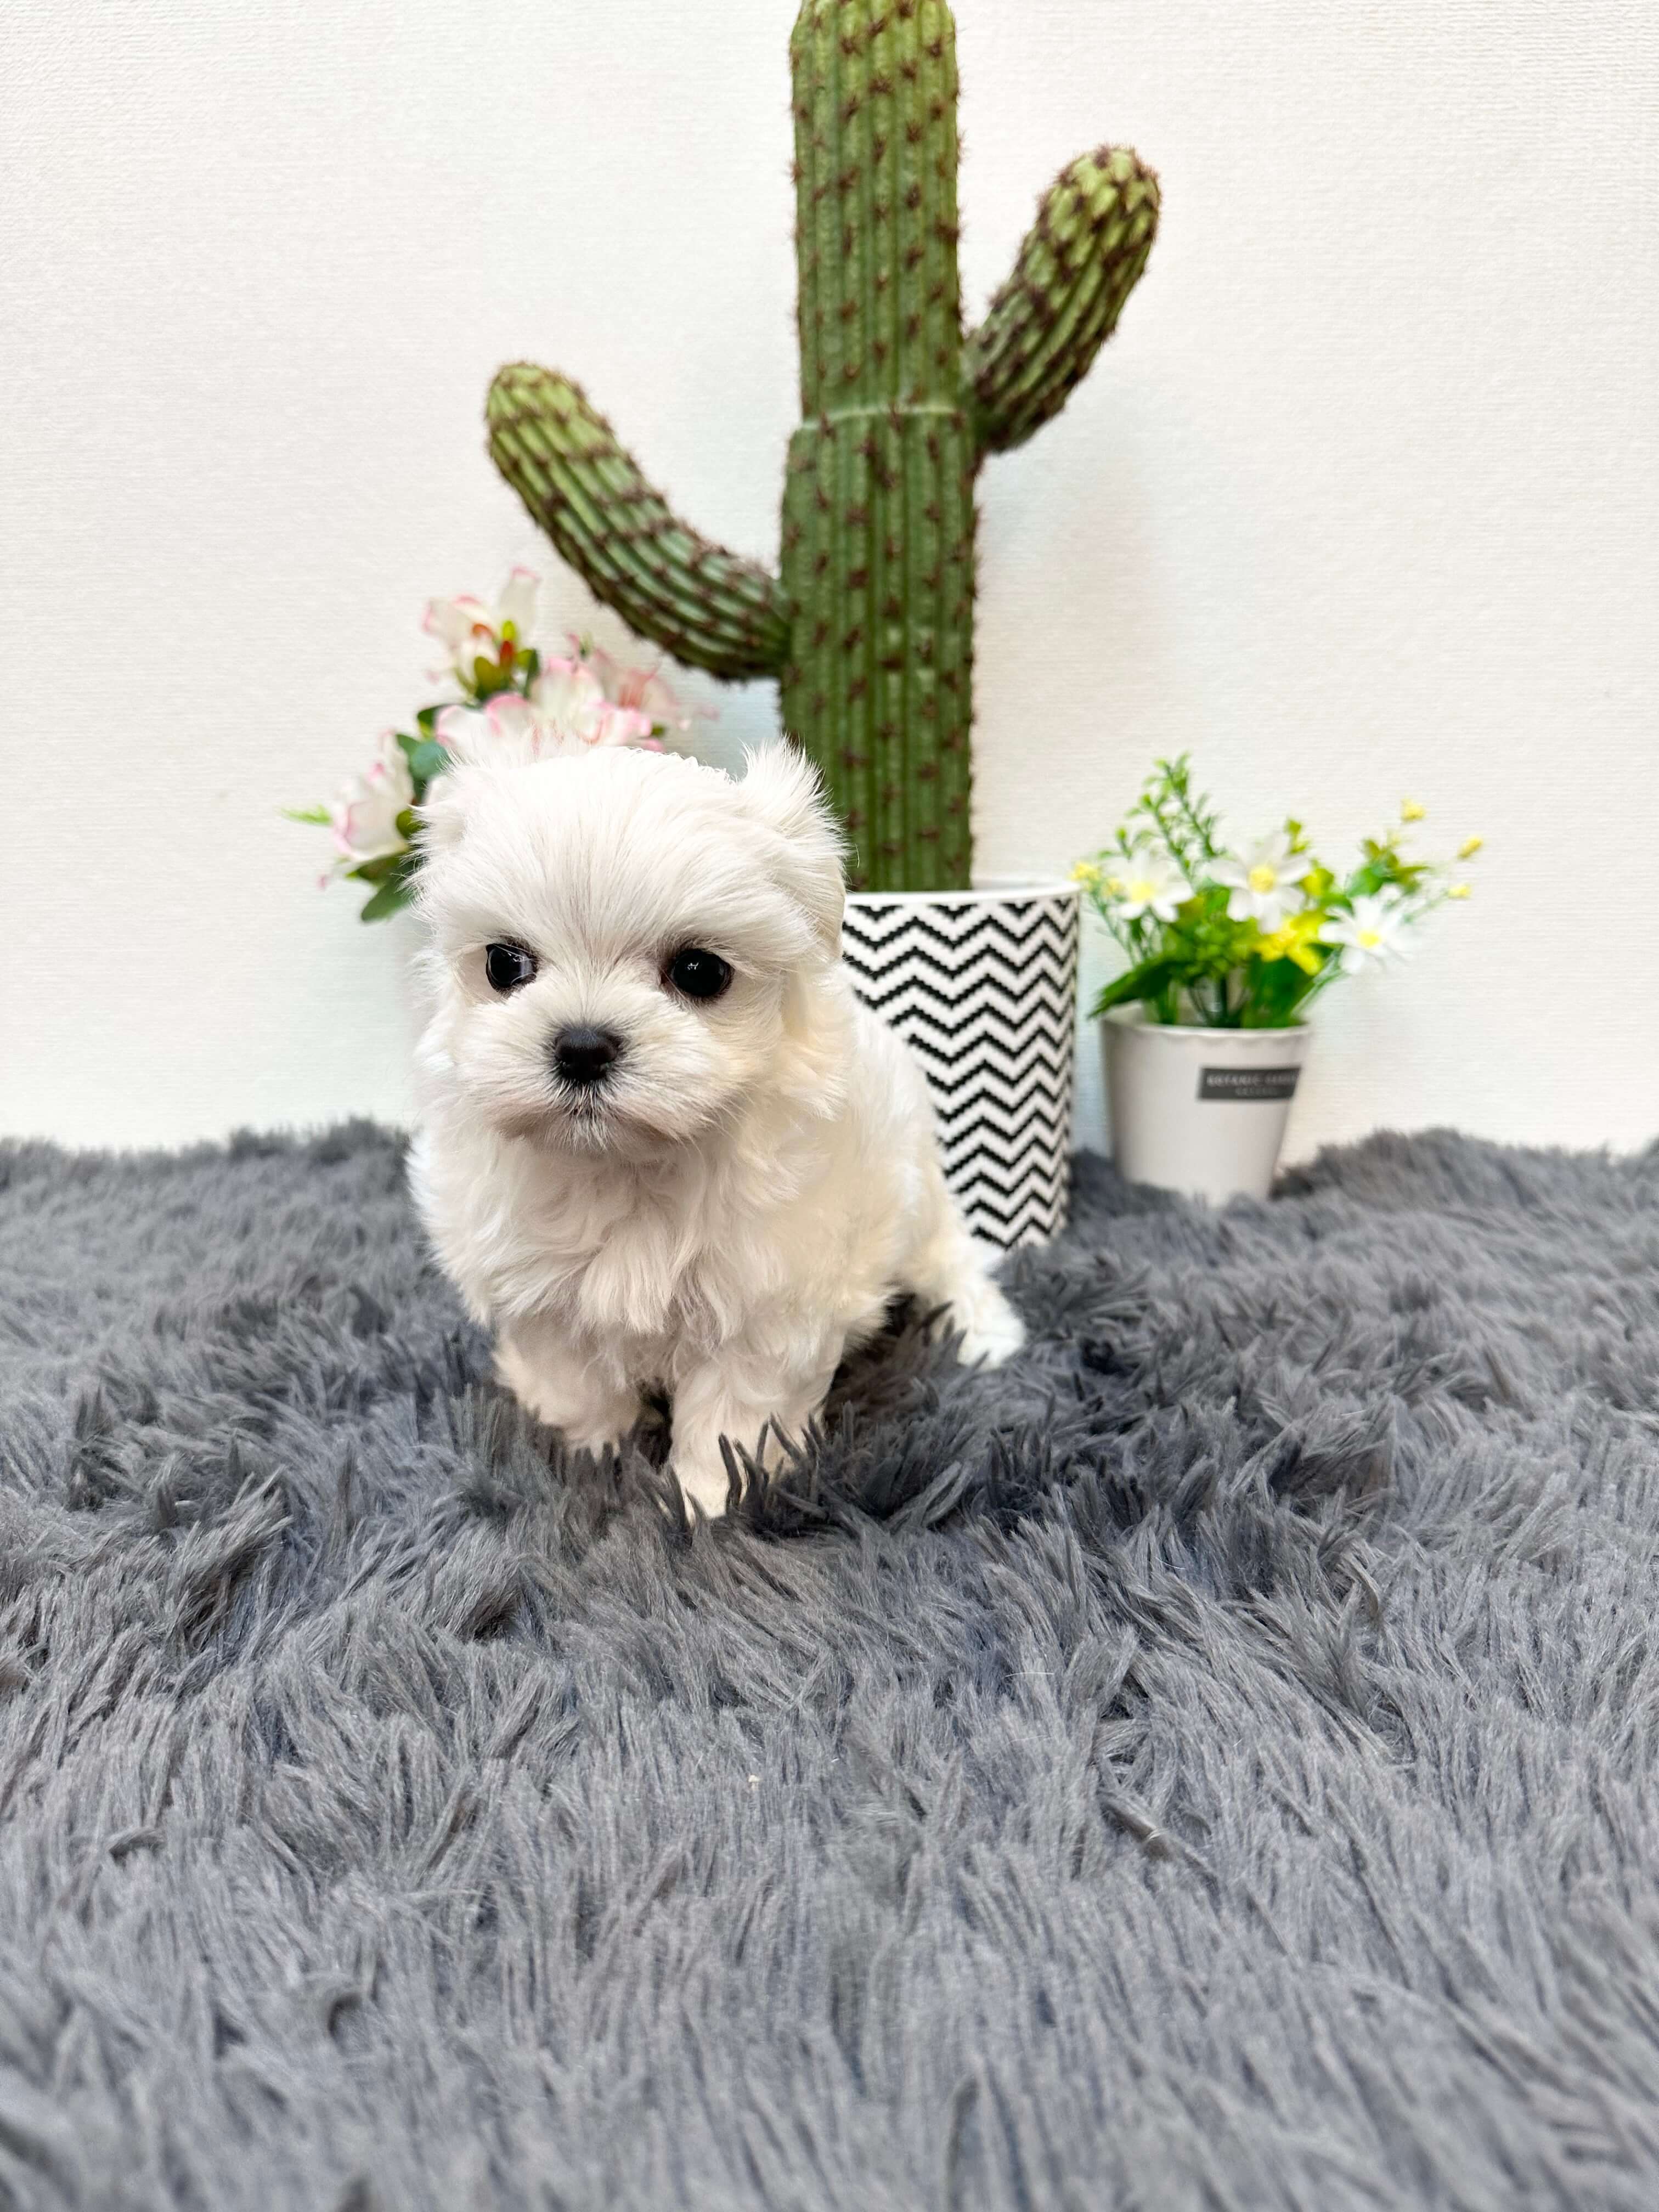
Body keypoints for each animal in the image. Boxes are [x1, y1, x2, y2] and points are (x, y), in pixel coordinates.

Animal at [409, 727, 1024, 1518]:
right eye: (503, 964)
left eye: (699, 972)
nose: (582, 1046)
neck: (626, 1167)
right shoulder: (542, 1296)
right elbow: (575, 1386)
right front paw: (583, 1461)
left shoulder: (766, 1307)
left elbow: (733, 1420)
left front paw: (703, 1507)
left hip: (915, 1205)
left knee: (954, 1259)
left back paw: (985, 1333)